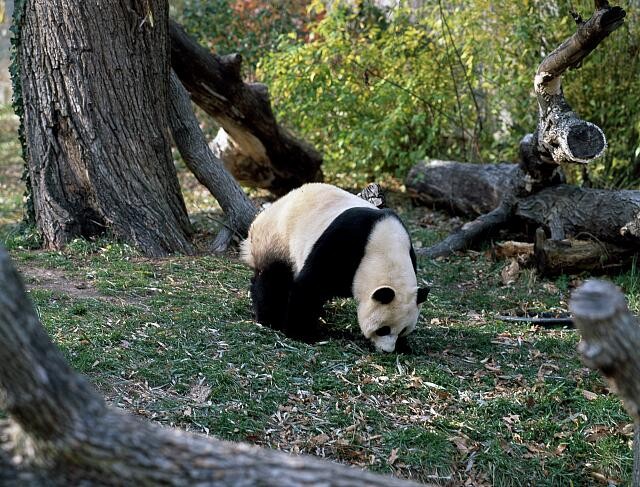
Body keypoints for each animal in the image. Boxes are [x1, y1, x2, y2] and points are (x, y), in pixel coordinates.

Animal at [240, 183, 429, 352]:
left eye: (403, 330)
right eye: (383, 329)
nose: (387, 350)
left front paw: (404, 346)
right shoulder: (344, 241)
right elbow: (310, 285)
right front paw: (301, 333)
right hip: (277, 240)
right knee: (272, 279)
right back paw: (270, 318)